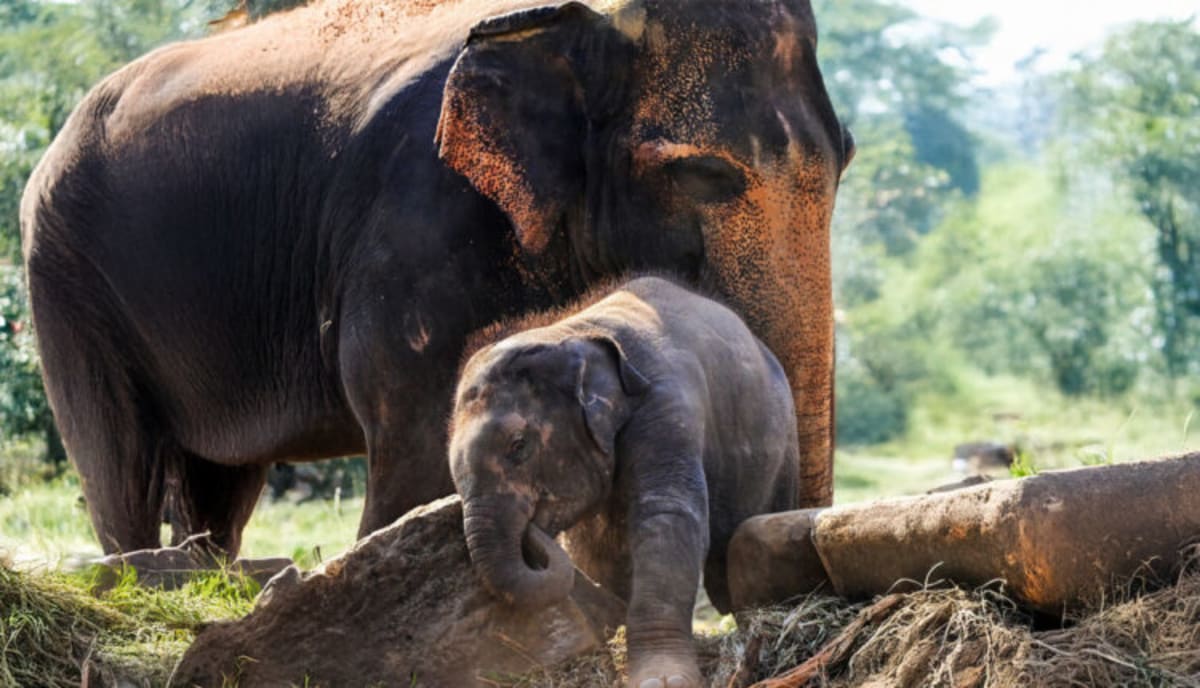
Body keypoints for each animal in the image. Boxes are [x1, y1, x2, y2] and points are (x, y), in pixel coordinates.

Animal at [19, 0, 852, 557]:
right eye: (699, 173)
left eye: (845, 157)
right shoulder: (418, 220)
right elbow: (423, 449)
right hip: (64, 273)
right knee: (120, 461)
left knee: (221, 481)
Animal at [449, 275, 798, 688]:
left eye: (519, 446)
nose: (533, 528)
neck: (574, 333)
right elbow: (595, 550)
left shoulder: (667, 407)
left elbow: (667, 518)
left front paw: (662, 680)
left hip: (785, 450)